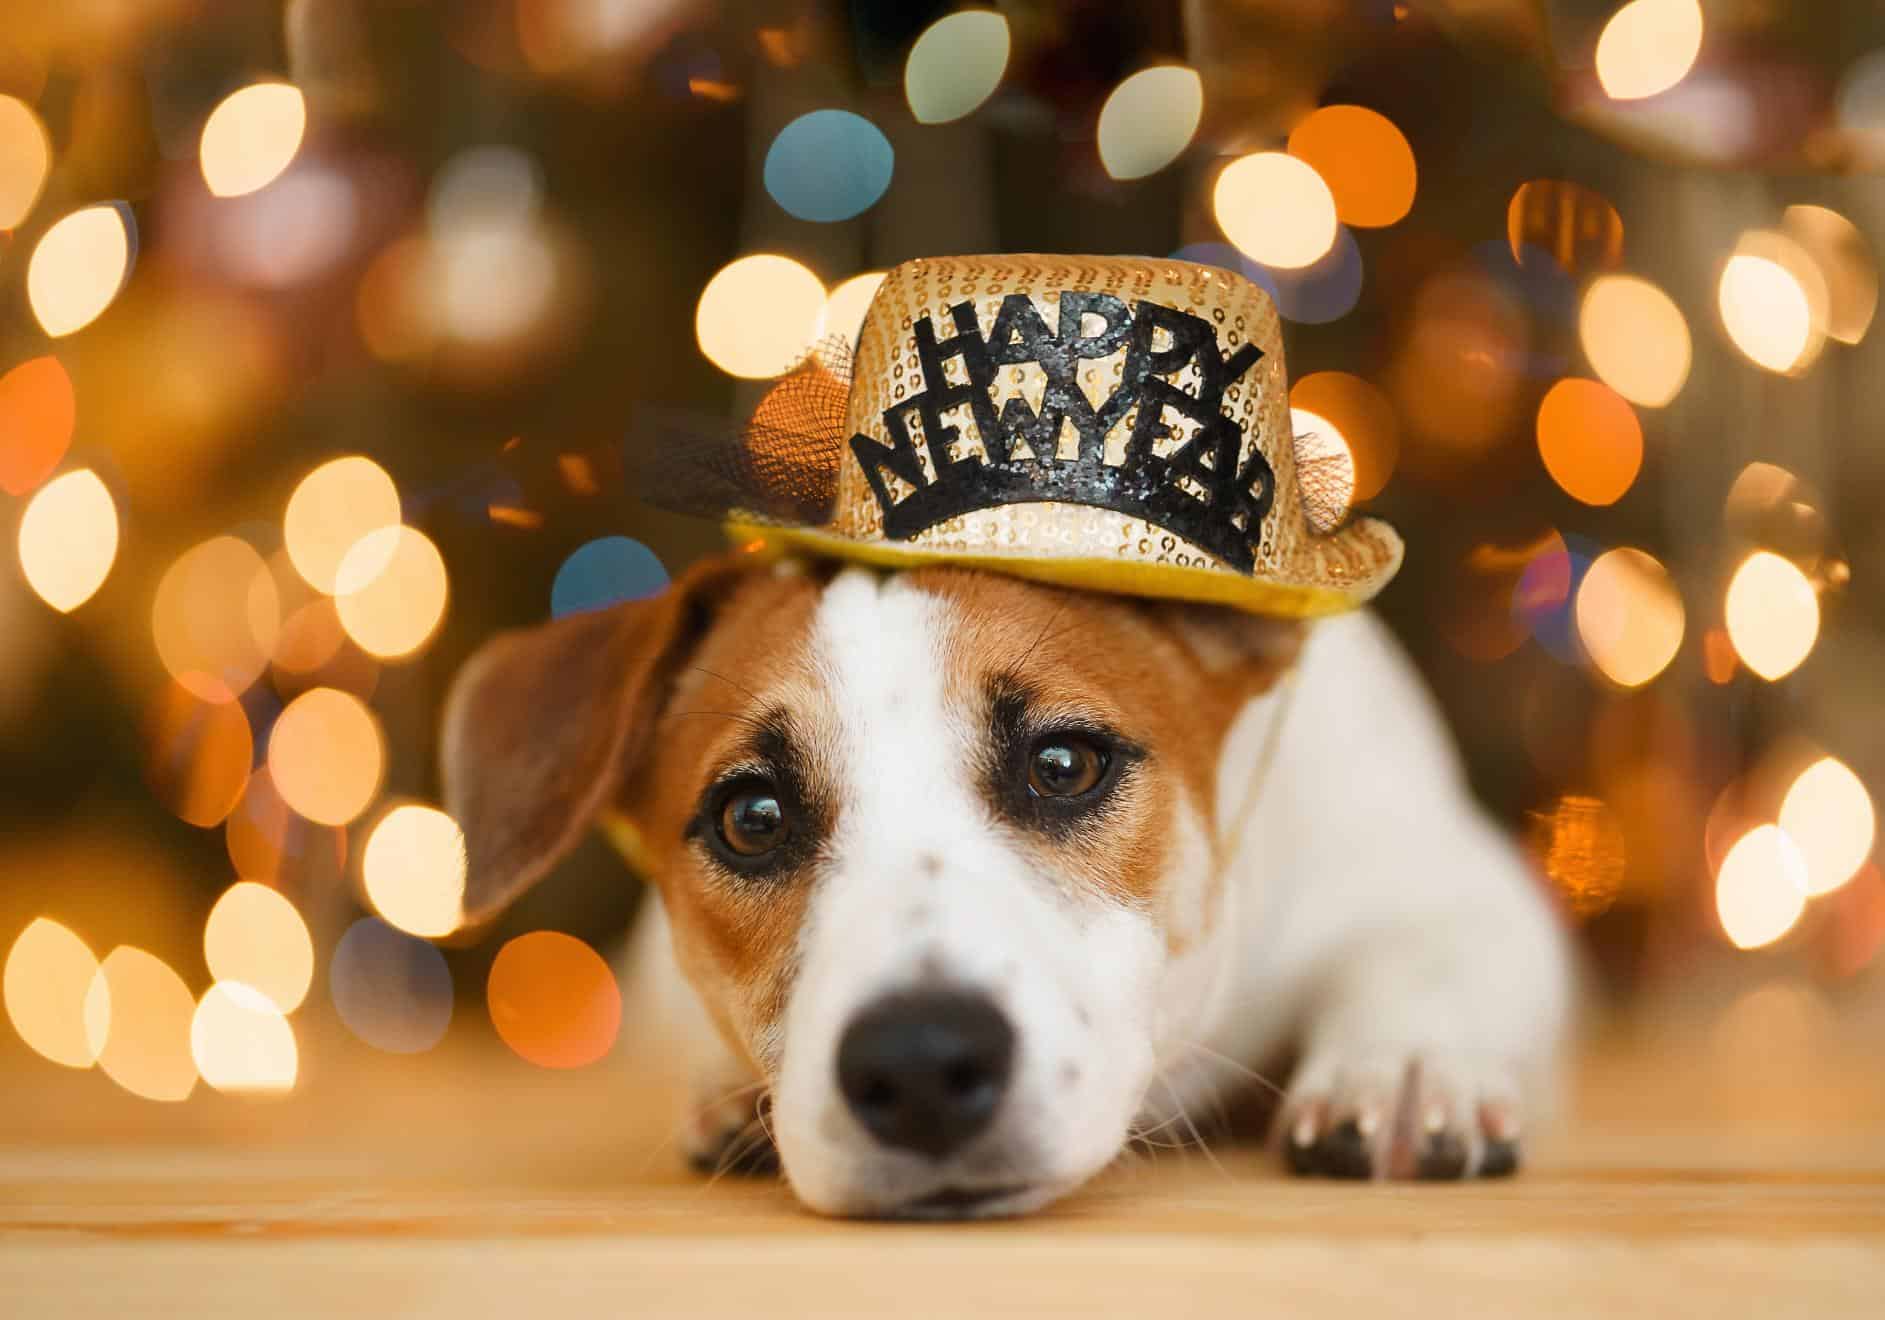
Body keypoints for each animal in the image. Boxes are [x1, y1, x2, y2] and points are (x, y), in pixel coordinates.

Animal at [441, 546, 1575, 1214]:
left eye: (1064, 764)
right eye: (751, 819)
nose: (920, 1066)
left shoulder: (1456, 877)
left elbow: (1422, 950)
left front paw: (1403, 1067)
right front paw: (729, 1089)